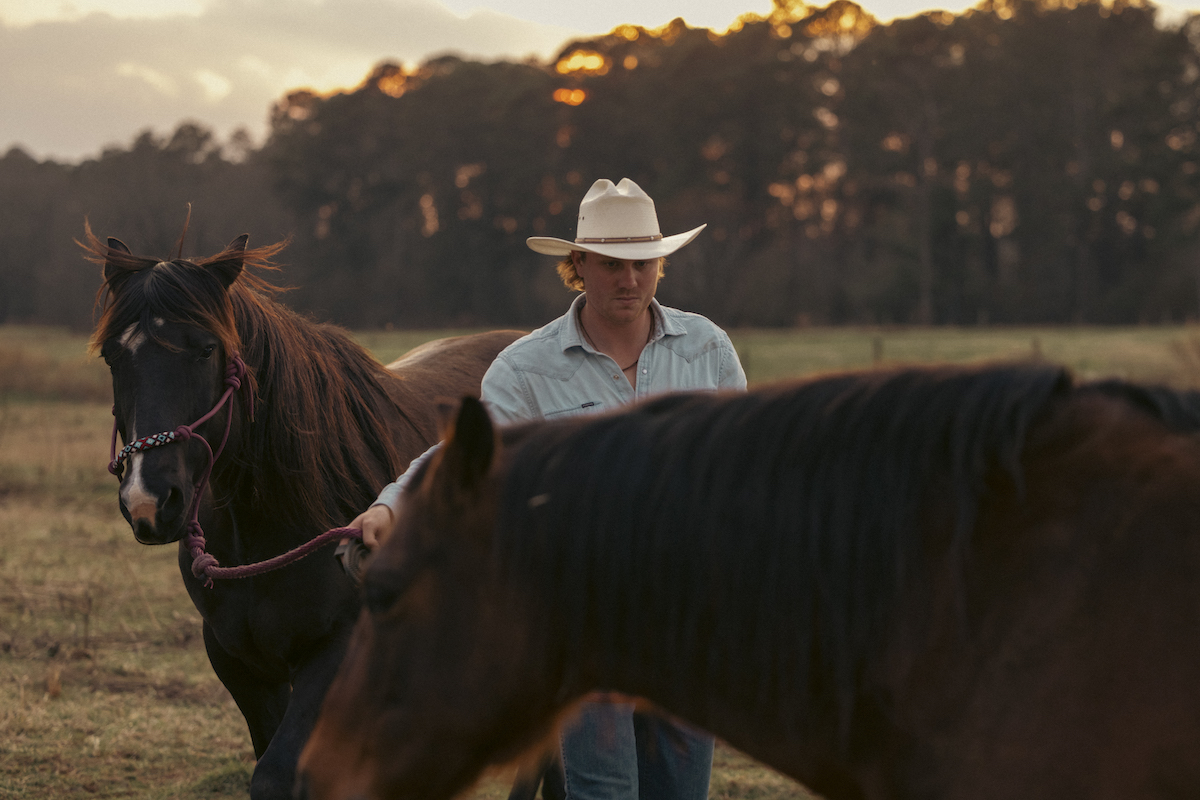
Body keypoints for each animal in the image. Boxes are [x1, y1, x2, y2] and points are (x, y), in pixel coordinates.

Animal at [82, 225, 523, 799]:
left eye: (206, 349)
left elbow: (277, 775)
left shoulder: (335, 652)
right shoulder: (239, 661)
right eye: (114, 357)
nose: (148, 499)